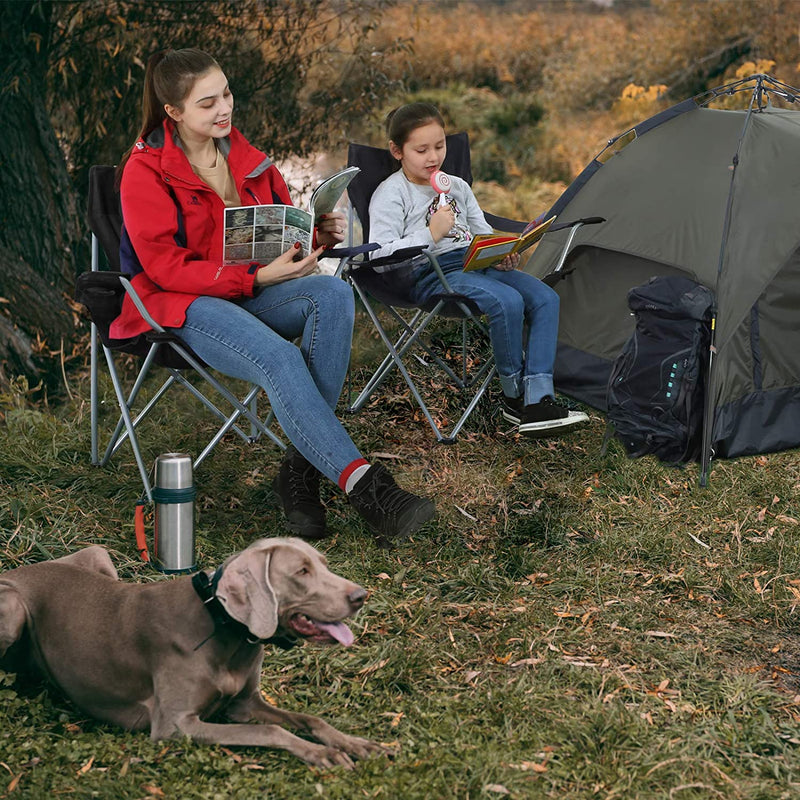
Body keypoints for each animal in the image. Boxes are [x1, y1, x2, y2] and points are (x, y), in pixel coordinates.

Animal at [0, 536, 384, 768]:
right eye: (301, 572)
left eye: (323, 563)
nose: (361, 595)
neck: (222, 626)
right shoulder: (174, 725)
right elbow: (270, 732)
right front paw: (323, 753)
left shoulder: (244, 704)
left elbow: (309, 718)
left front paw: (353, 743)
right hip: (15, 607)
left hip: (98, 554)